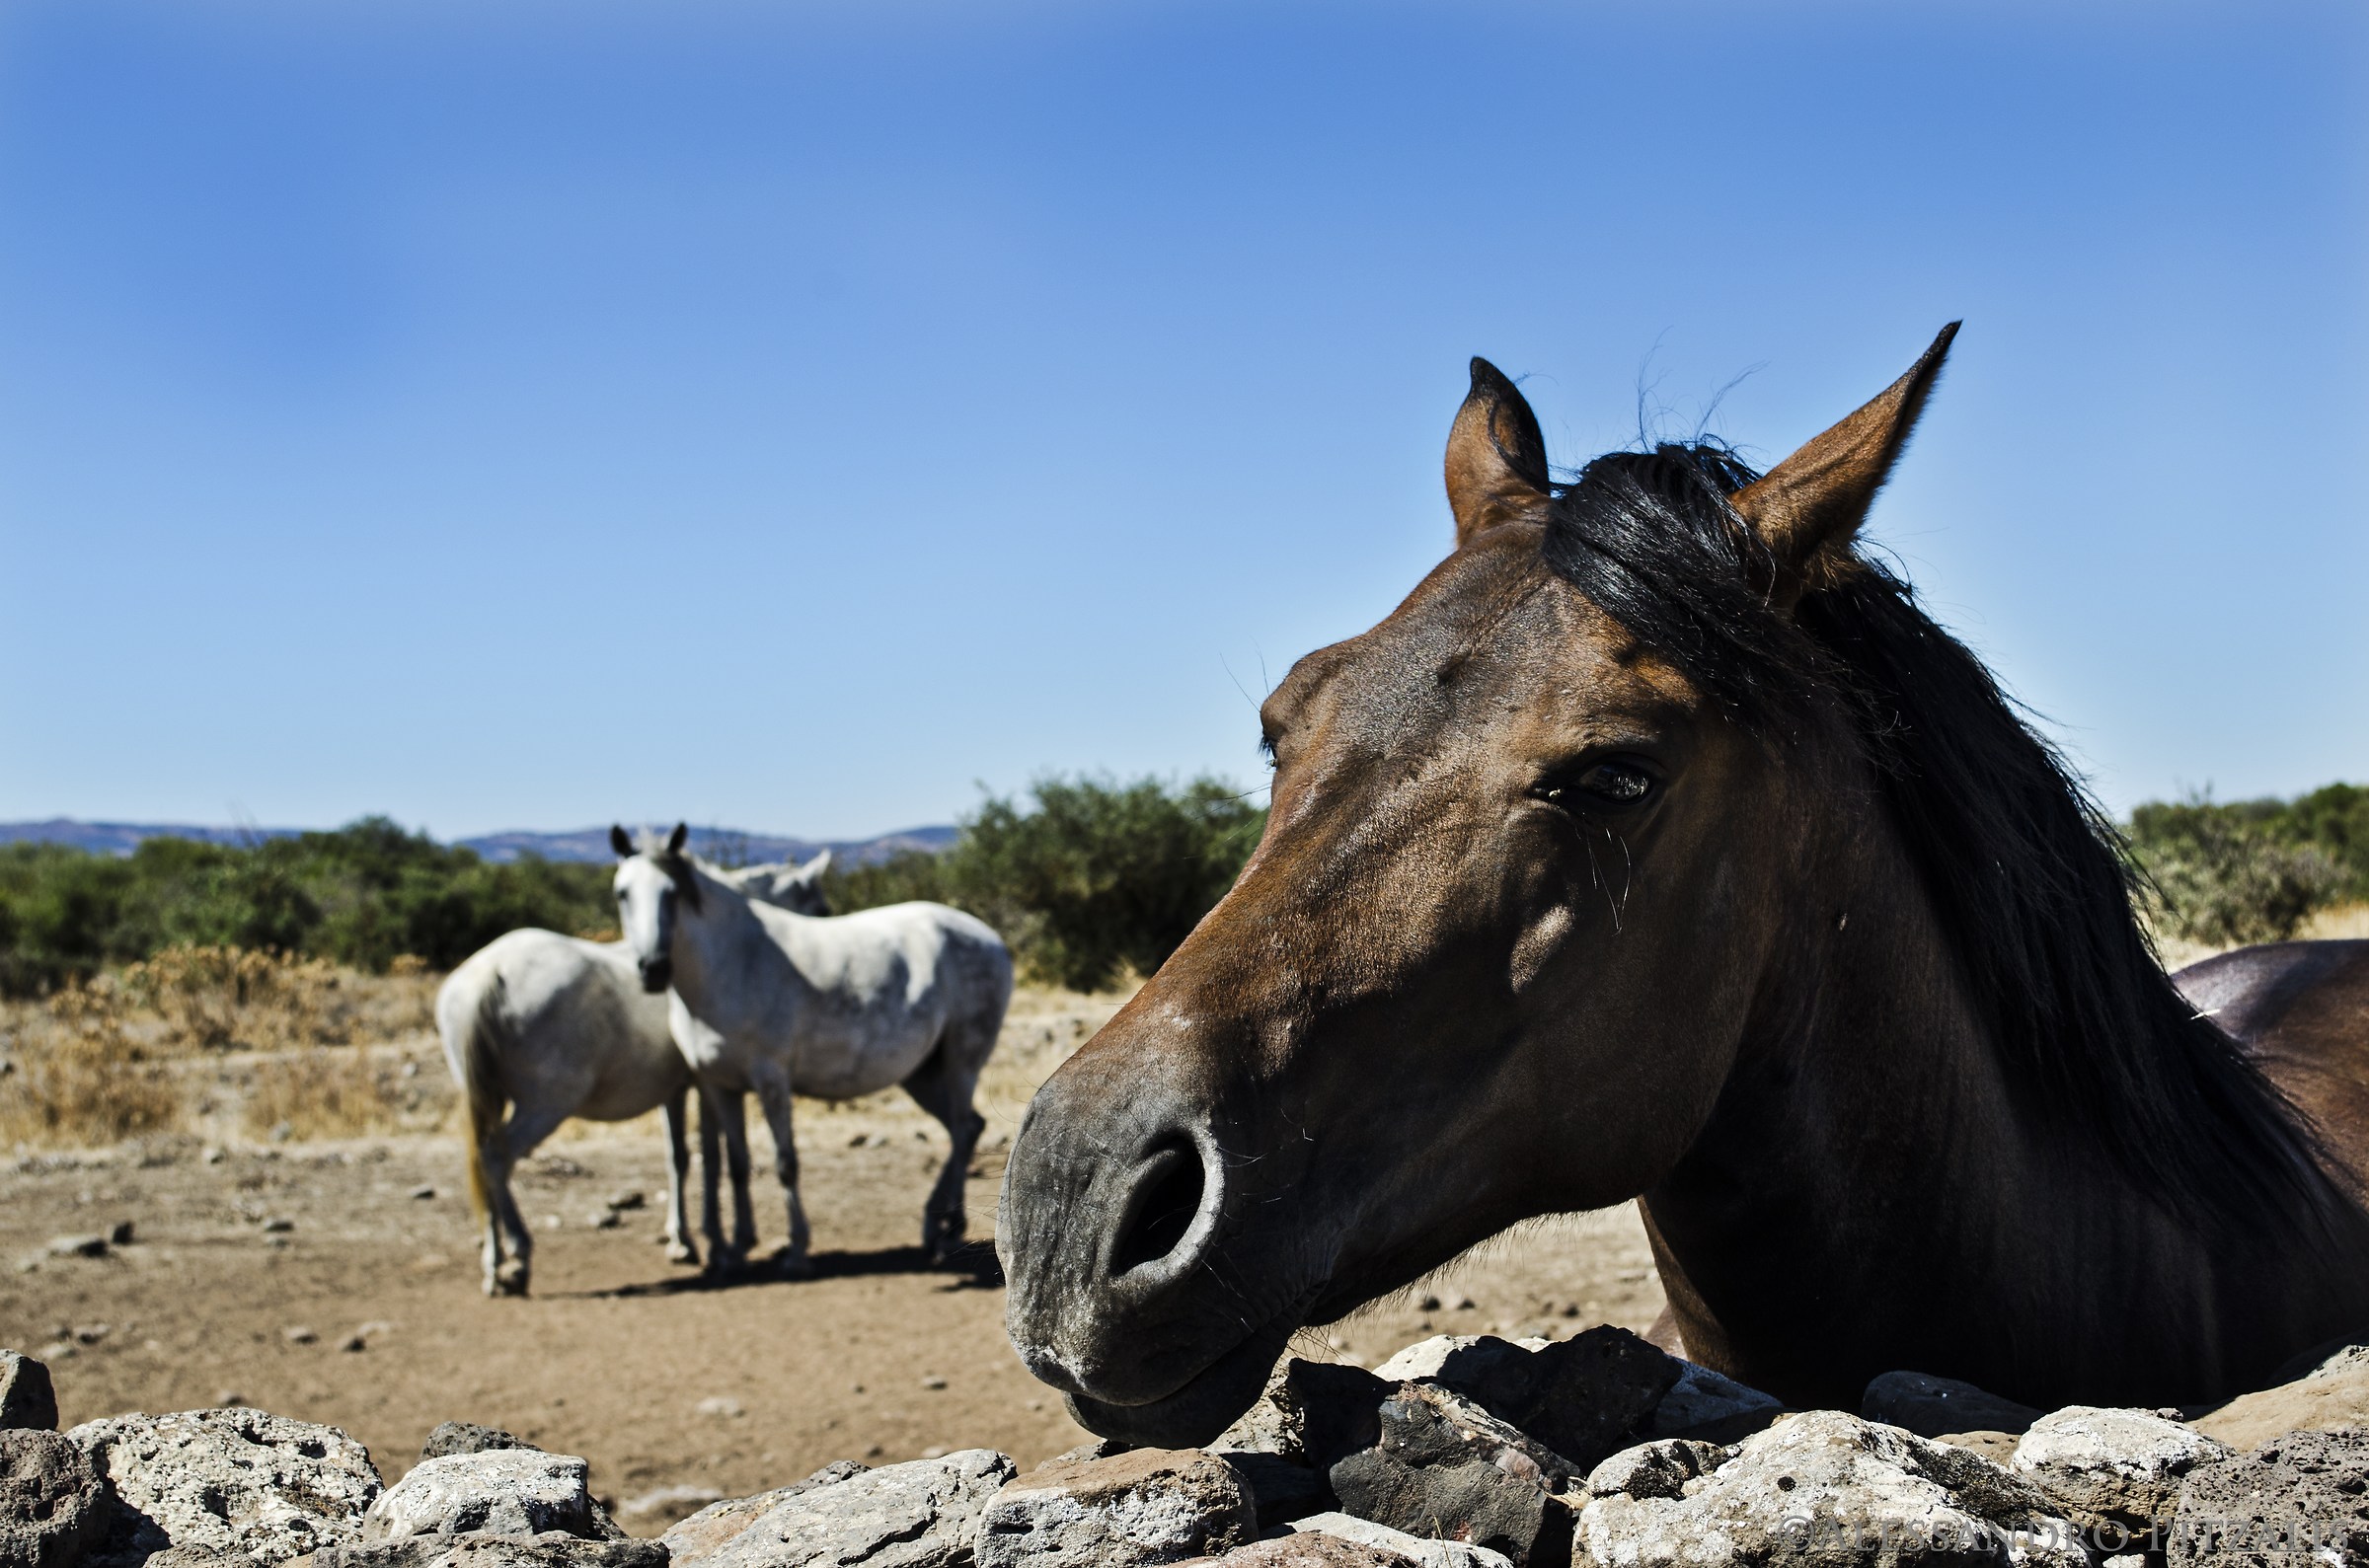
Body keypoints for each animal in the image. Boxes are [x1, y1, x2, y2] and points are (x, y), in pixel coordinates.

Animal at [438, 853, 831, 1296]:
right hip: (546, 1103)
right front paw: (715, 1243)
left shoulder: (674, 1089)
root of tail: (489, 972)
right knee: (496, 1157)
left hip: (489, 1097)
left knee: (481, 1159)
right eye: (820, 910)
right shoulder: (704, 1084)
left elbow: (679, 1157)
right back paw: (518, 1256)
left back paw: (494, 1266)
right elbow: (711, 1158)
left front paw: (683, 1241)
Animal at [611, 823, 1014, 1275]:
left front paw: (797, 1249)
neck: (730, 965)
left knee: (962, 1129)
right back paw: (939, 1225)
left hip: (961, 1062)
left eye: (672, 893)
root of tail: (990, 937)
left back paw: (948, 1228)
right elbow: (736, 1163)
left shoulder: (771, 1079)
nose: (653, 969)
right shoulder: (719, 1085)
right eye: (622, 893)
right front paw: (736, 1247)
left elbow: (784, 1163)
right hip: (921, 1074)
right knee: (967, 1127)